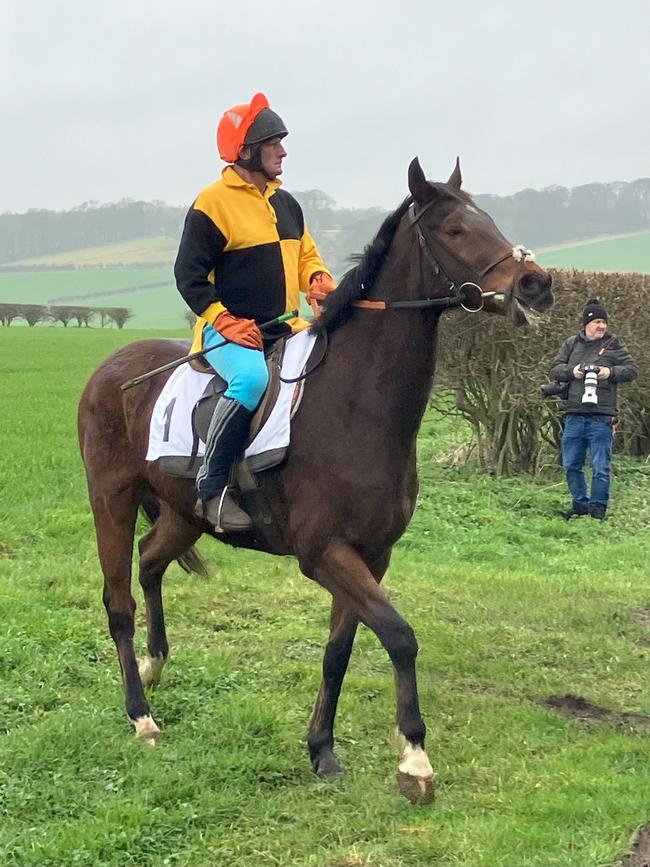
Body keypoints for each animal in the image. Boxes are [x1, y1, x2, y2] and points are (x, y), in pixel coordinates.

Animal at [77, 158, 552, 808]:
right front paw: (415, 758)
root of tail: (109, 368)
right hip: (112, 502)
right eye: (454, 229)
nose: (536, 284)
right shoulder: (324, 552)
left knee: (150, 562)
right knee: (118, 599)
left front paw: (322, 748)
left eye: (490, 219)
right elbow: (399, 635)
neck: (354, 406)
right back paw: (140, 712)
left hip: (185, 512)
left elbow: (340, 650)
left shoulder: (371, 555)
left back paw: (155, 662)